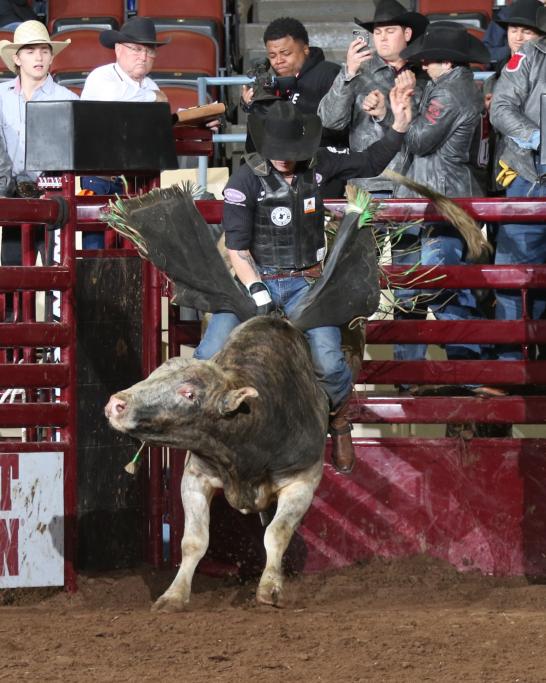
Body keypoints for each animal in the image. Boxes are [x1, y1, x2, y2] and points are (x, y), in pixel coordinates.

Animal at [105, 316, 328, 608]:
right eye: (152, 375)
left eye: (189, 393)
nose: (116, 404)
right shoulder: (195, 477)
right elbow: (194, 541)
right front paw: (174, 595)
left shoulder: (302, 482)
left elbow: (277, 533)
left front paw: (270, 588)